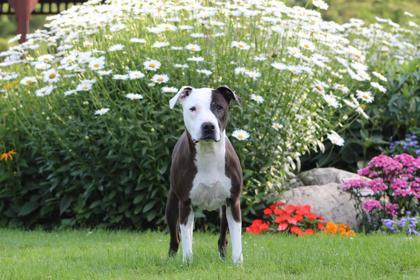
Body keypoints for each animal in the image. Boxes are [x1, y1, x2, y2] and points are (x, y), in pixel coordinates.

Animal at [165, 86, 243, 264]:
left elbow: (237, 236)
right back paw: (171, 259)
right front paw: (187, 262)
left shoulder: (233, 201)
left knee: (223, 237)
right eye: (193, 108)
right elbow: (186, 238)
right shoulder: (185, 203)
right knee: (176, 238)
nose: (208, 126)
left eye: (219, 107)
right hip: (172, 205)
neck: (208, 154)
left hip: (223, 210)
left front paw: (238, 262)